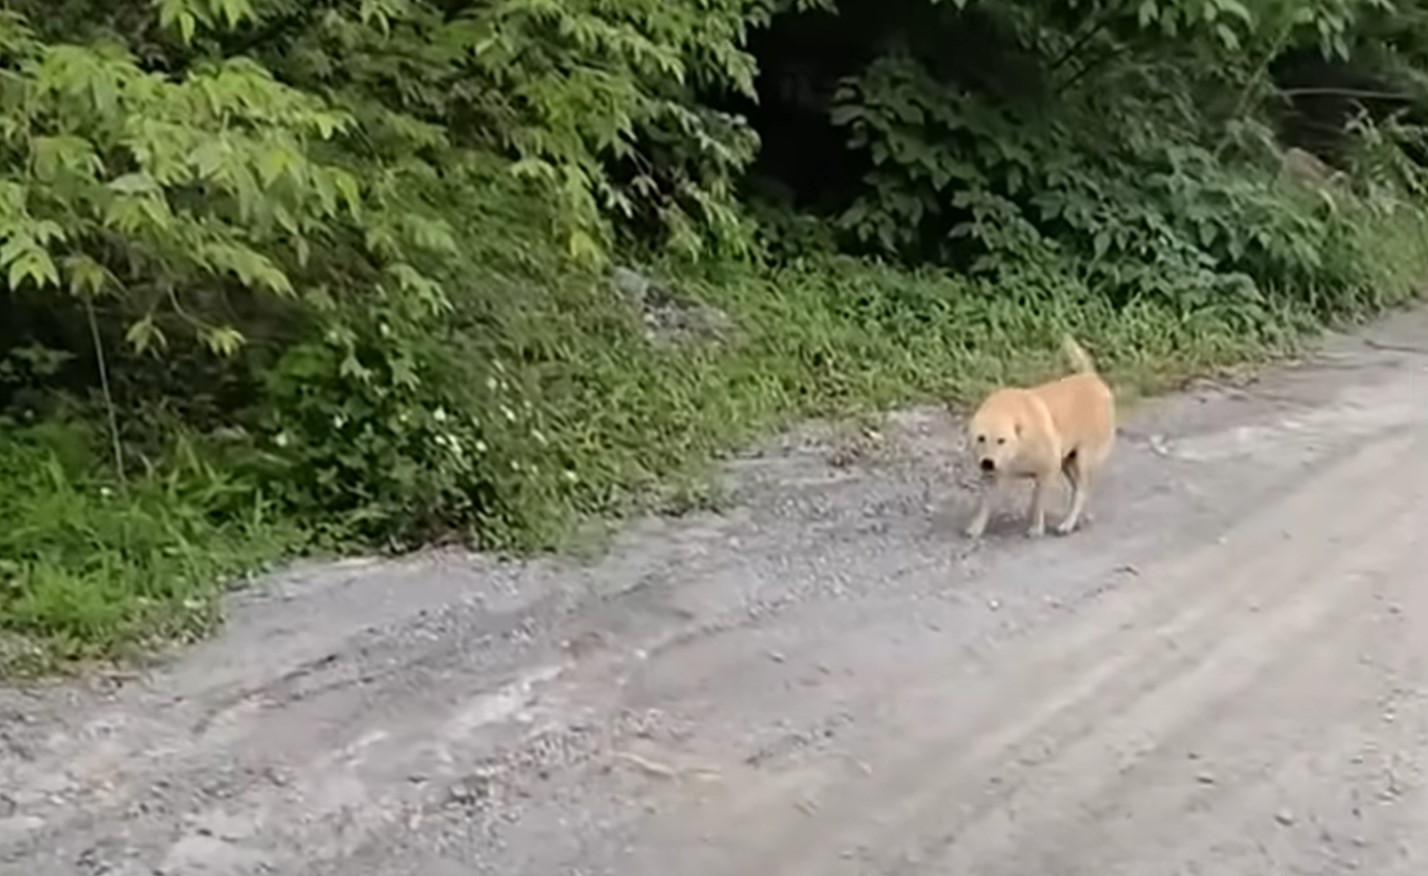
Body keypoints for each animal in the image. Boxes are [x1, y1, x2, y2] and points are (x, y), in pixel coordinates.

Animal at [959, 334, 1113, 540]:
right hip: (1068, 462)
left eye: (1001, 440)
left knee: (1081, 491)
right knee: (1080, 489)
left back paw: (1067, 524)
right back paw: (1082, 518)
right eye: (981, 438)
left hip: (1083, 459)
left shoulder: (1047, 471)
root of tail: (1092, 378)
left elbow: (1037, 503)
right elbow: (984, 503)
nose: (987, 463)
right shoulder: (992, 478)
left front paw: (1036, 528)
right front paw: (976, 527)